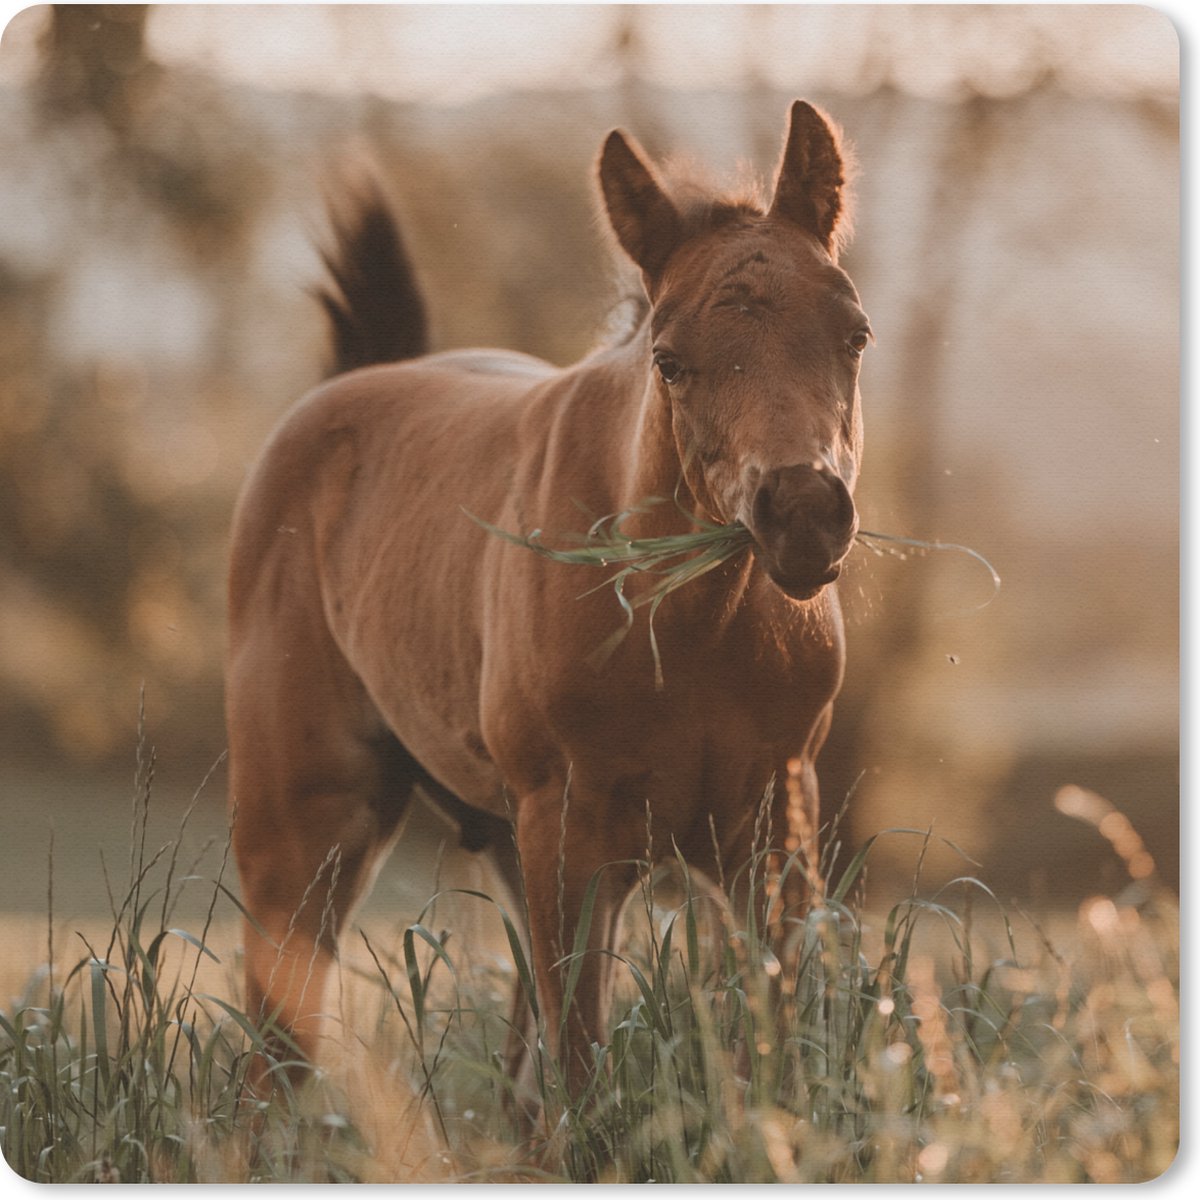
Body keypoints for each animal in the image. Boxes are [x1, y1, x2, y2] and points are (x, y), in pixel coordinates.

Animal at [225, 100, 869, 1105]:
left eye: (856, 335)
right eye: (670, 361)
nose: (802, 513)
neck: (690, 633)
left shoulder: (771, 834)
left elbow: (768, 1050)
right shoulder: (573, 834)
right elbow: (583, 1068)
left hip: (503, 840)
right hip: (305, 832)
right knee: (274, 1061)